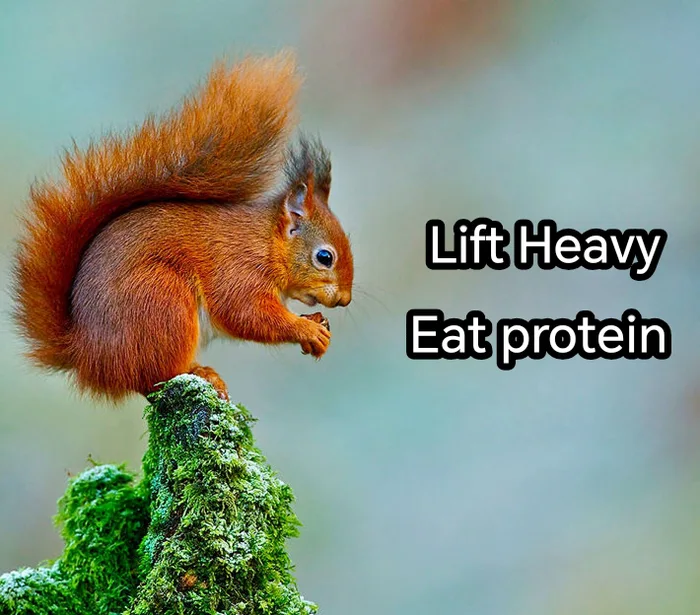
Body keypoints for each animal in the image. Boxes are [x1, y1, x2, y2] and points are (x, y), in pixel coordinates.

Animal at [11, 52, 353, 402]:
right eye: (325, 257)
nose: (344, 299)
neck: (267, 243)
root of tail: (86, 356)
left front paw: (316, 321)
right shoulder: (240, 271)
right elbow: (246, 313)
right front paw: (307, 329)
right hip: (164, 299)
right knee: (153, 378)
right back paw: (200, 373)